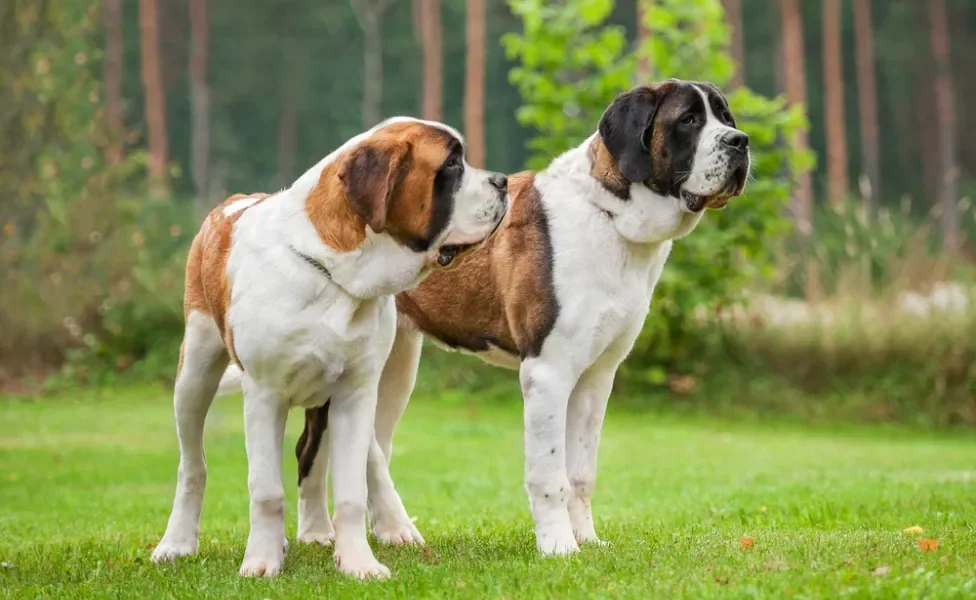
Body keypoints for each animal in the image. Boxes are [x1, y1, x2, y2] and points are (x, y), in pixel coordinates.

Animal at [151, 115, 510, 580]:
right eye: (451, 164)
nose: (502, 181)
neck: (335, 273)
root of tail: (230, 203)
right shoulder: (264, 395)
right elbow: (265, 489)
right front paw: (261, 562)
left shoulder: (356, 394)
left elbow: (352, 491)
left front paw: (358, 563)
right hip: (194, 373)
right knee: (192, 464)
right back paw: (176, 543)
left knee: (331, 454)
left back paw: (338, 529)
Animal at [219, 77, 748, 560]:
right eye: (688, 121)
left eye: (726, 117)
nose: (740, 142)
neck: (610, 217)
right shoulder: (547, 372)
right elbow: (549, 473)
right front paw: (558, 547)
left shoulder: (597, 377)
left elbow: (580, 472)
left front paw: (587, 540)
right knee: (318, 446)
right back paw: (322, 532)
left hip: (394, 368)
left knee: (356, 444)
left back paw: (365, 531)